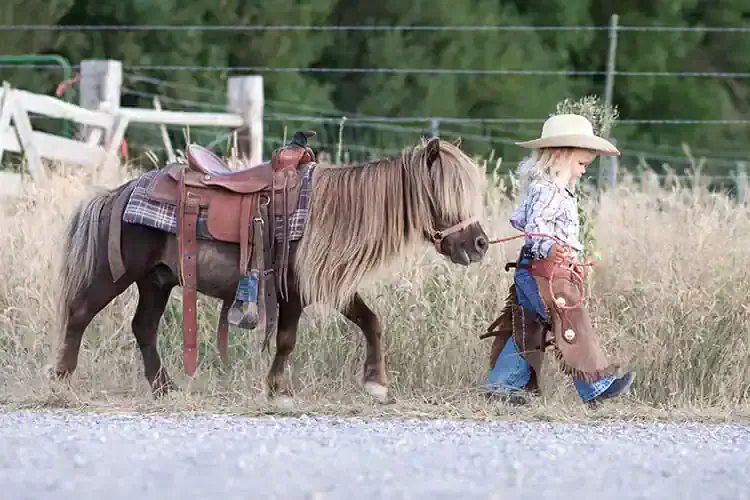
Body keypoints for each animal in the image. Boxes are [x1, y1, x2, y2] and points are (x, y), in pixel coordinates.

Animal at [51, 134, 490, 407]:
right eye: (445, 196)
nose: (480, 244)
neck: (328, 214)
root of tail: (122, 191)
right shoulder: (291, 290)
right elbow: (287, 340)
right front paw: (279, 390)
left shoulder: (329, 285)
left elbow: (372, 322)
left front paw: (377, 385)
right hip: (118, 274)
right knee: (80, 313)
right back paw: (62, 379)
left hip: (156, 280)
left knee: (143, 328)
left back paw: (164, 388)